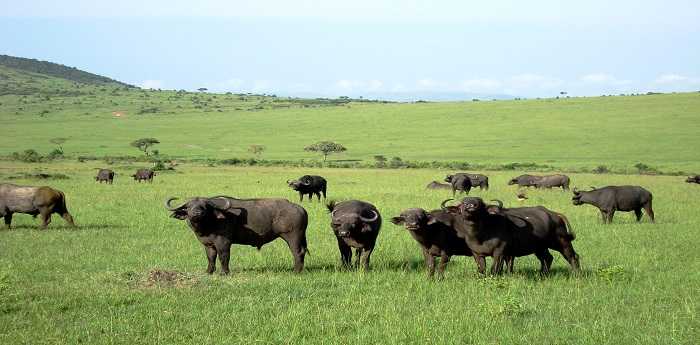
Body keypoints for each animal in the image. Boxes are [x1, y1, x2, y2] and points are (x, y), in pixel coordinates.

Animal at [167, 196, 308, 274]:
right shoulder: (209, 245)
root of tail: (300, 208)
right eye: (189, 207)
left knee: (298, 252)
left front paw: (224, 272)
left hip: (293, 237)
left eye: (205, 206)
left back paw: (296, 271)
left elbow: (223, 257)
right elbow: (211, 258)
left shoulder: (223, 243)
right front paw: (209, 272)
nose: (197, 213)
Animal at [442, 196, 580, 274]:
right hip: (540, 247)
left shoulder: (499, 252)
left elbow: (495, 269)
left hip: (561, 241)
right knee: (547, 258)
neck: (480, 235)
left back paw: (576, 274)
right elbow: (482, 269)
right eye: (463, 203)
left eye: (481, 203)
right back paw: (543, 274)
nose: (471, 205)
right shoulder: (477, 253)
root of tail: (554, 214)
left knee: (572, 256)